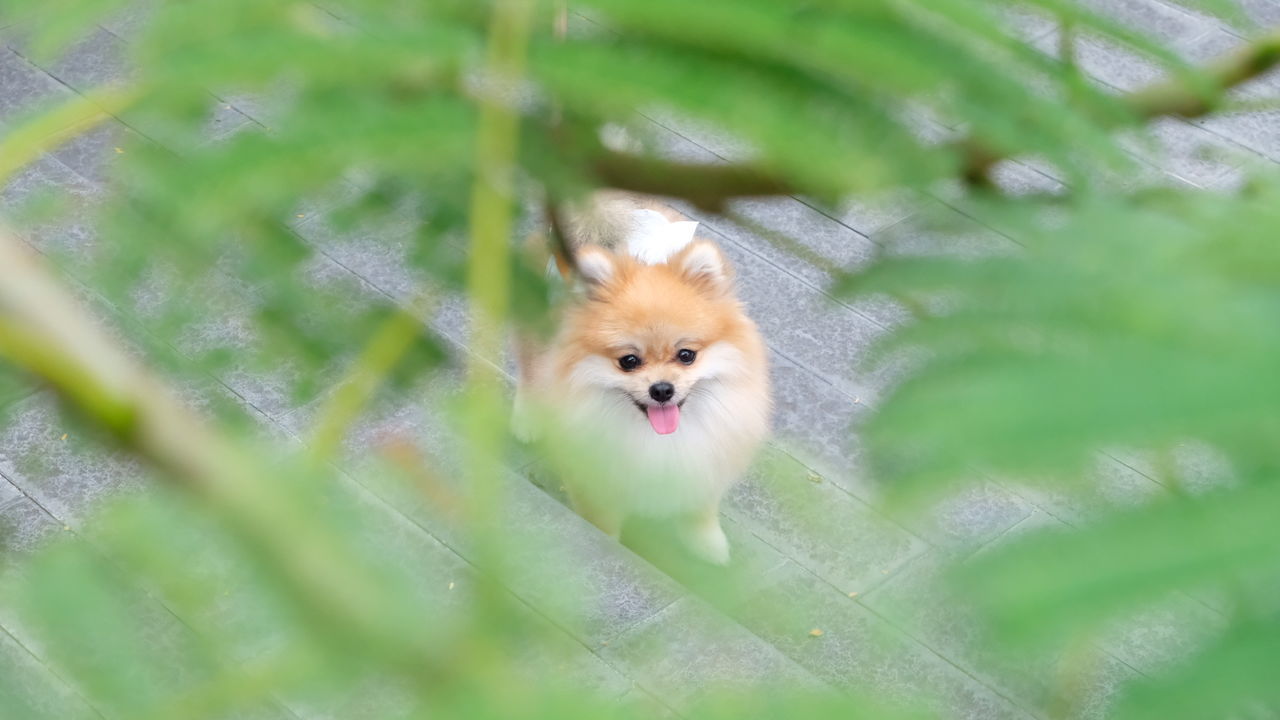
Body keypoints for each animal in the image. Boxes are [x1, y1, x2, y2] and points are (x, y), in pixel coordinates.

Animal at [509, 193, 768, 563]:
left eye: (686, 355)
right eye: (628, 361)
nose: (662, 389)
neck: (658, 438)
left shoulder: (706, 459)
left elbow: (700, 508)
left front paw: (708, 546)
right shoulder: (595, 478)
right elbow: (603, 521)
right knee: (530, 369)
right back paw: (527, 420)